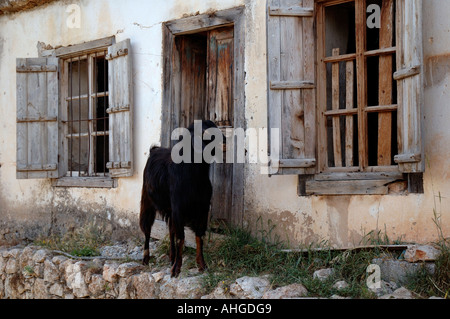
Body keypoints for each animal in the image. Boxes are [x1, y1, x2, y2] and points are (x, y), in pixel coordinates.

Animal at [141, 120, 223, 278]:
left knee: (170, 230)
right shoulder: (179, 208)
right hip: (147, 201)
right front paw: (176, 269)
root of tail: (154, 150)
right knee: (147, 228)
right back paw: (146, 259)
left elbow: (198, 236)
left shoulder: (203, 209)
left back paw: (172, 257)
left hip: (170, 209)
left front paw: (202, 265)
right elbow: (181, 237)